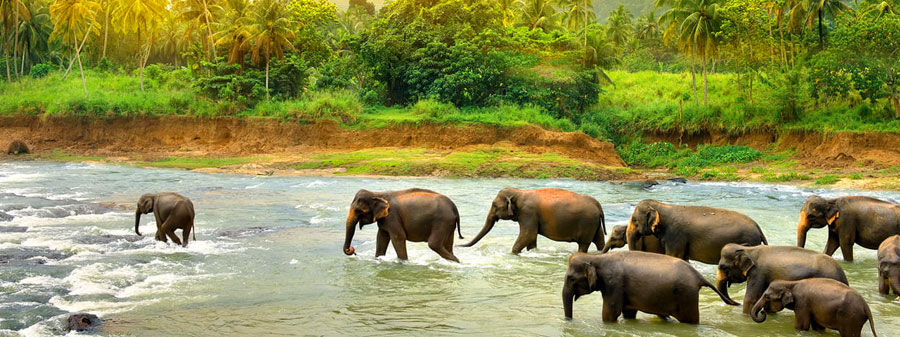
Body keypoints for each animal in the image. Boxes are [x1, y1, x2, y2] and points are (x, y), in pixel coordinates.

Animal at [460, 188, 608, 253]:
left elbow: (528, 235)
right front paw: (532, 252)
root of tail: (598, 205)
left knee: (584, 244)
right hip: (595, 224)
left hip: (587, 223)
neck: (518, 193)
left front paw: (514, 253)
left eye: (495, 206)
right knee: (600, 240)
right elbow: (531, 239)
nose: (459, 244)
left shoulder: (528, 213)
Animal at [564, 251, 740, 322]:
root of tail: (699, 276)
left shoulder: (614, 283)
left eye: (570, 278)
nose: (568, 320)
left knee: (690, 320)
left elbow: (610, 313)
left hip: (687, 297)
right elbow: (628, 312)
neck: (596, 257)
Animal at [624, 198, 768, 264]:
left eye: (635, 220)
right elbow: (683, 259)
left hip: (750, 240)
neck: (662, 206)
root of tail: (758, 227)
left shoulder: (676, 236)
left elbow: (673, 256)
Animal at [712, 242, 848, 312]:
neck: (748, 249)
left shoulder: (758, 273)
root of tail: (843, 275)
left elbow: (751, 298)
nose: (737, 303)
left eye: (723, 267)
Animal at [748, 276, 876, 336]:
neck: (791, 283)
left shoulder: (802, 303)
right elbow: (818, 327)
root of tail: (866, 306)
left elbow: (801, 326)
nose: (762, 312)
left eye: (767, 296)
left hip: (851, 318)